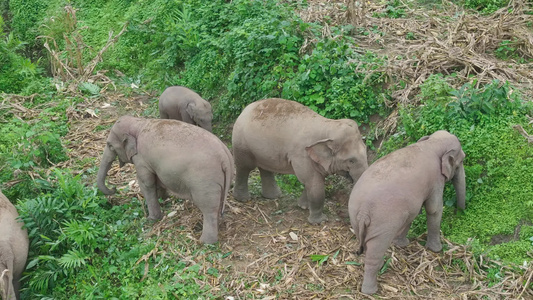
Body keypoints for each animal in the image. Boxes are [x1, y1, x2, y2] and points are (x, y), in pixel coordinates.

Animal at [96, 115, 233, 244]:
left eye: (110, 145)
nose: (114, 188)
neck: (138, 123)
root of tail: (225, 157)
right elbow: (156, 180)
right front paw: (163, 200)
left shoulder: (142, 159)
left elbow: (146, 183)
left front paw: (151, 219)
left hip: (204, 182)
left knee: (208, 208)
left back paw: (205, 242)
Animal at [231, 97, 368, 224]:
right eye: (351, 161)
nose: (342, 214)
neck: (328, 125)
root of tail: (245, 109)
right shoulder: (302, 155)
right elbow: (314, 182)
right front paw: (320, 221)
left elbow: (312, 182)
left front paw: (303, 207)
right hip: (241, 143)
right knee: (244, 167)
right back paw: (243, 199)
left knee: (265, 168)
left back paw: (273, 196)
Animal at [348, 130, 464, 294]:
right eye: (461, 161)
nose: (460, 212)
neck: (431, 143)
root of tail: (364, 211)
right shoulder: (435, 180)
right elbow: (434, 209)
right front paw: (436, 250)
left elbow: (414, 212)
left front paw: (401, 244)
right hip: (382, 225)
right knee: (374, 253)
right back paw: (370, 290)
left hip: (354, 217)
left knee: (364, 244)